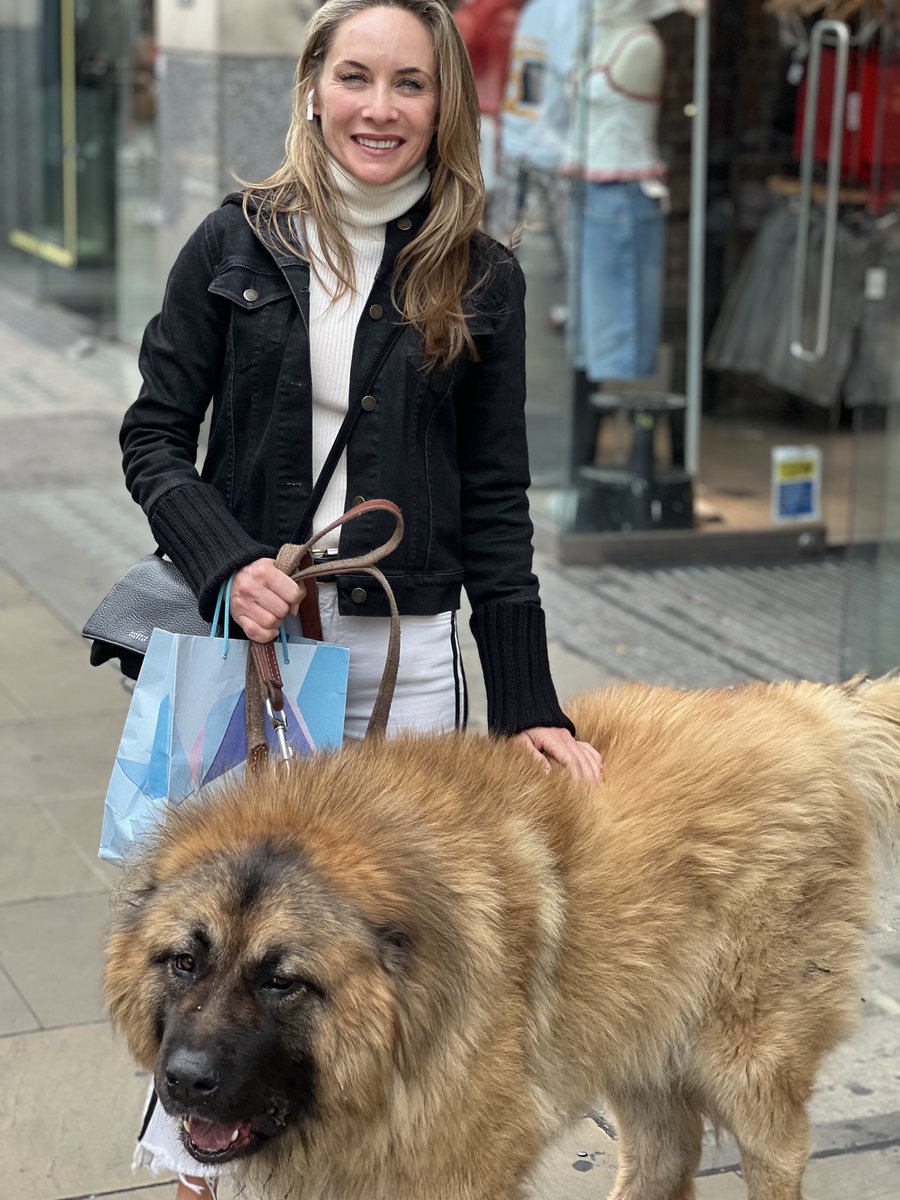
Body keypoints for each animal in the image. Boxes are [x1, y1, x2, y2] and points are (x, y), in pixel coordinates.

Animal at [107, 681, 900, 1195]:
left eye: (282, 981)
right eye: (185, 962)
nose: (185, 1081)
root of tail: (813, 711)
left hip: (748, 1058)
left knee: (774, 1155)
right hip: (638, 1035)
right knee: (665, 1158)